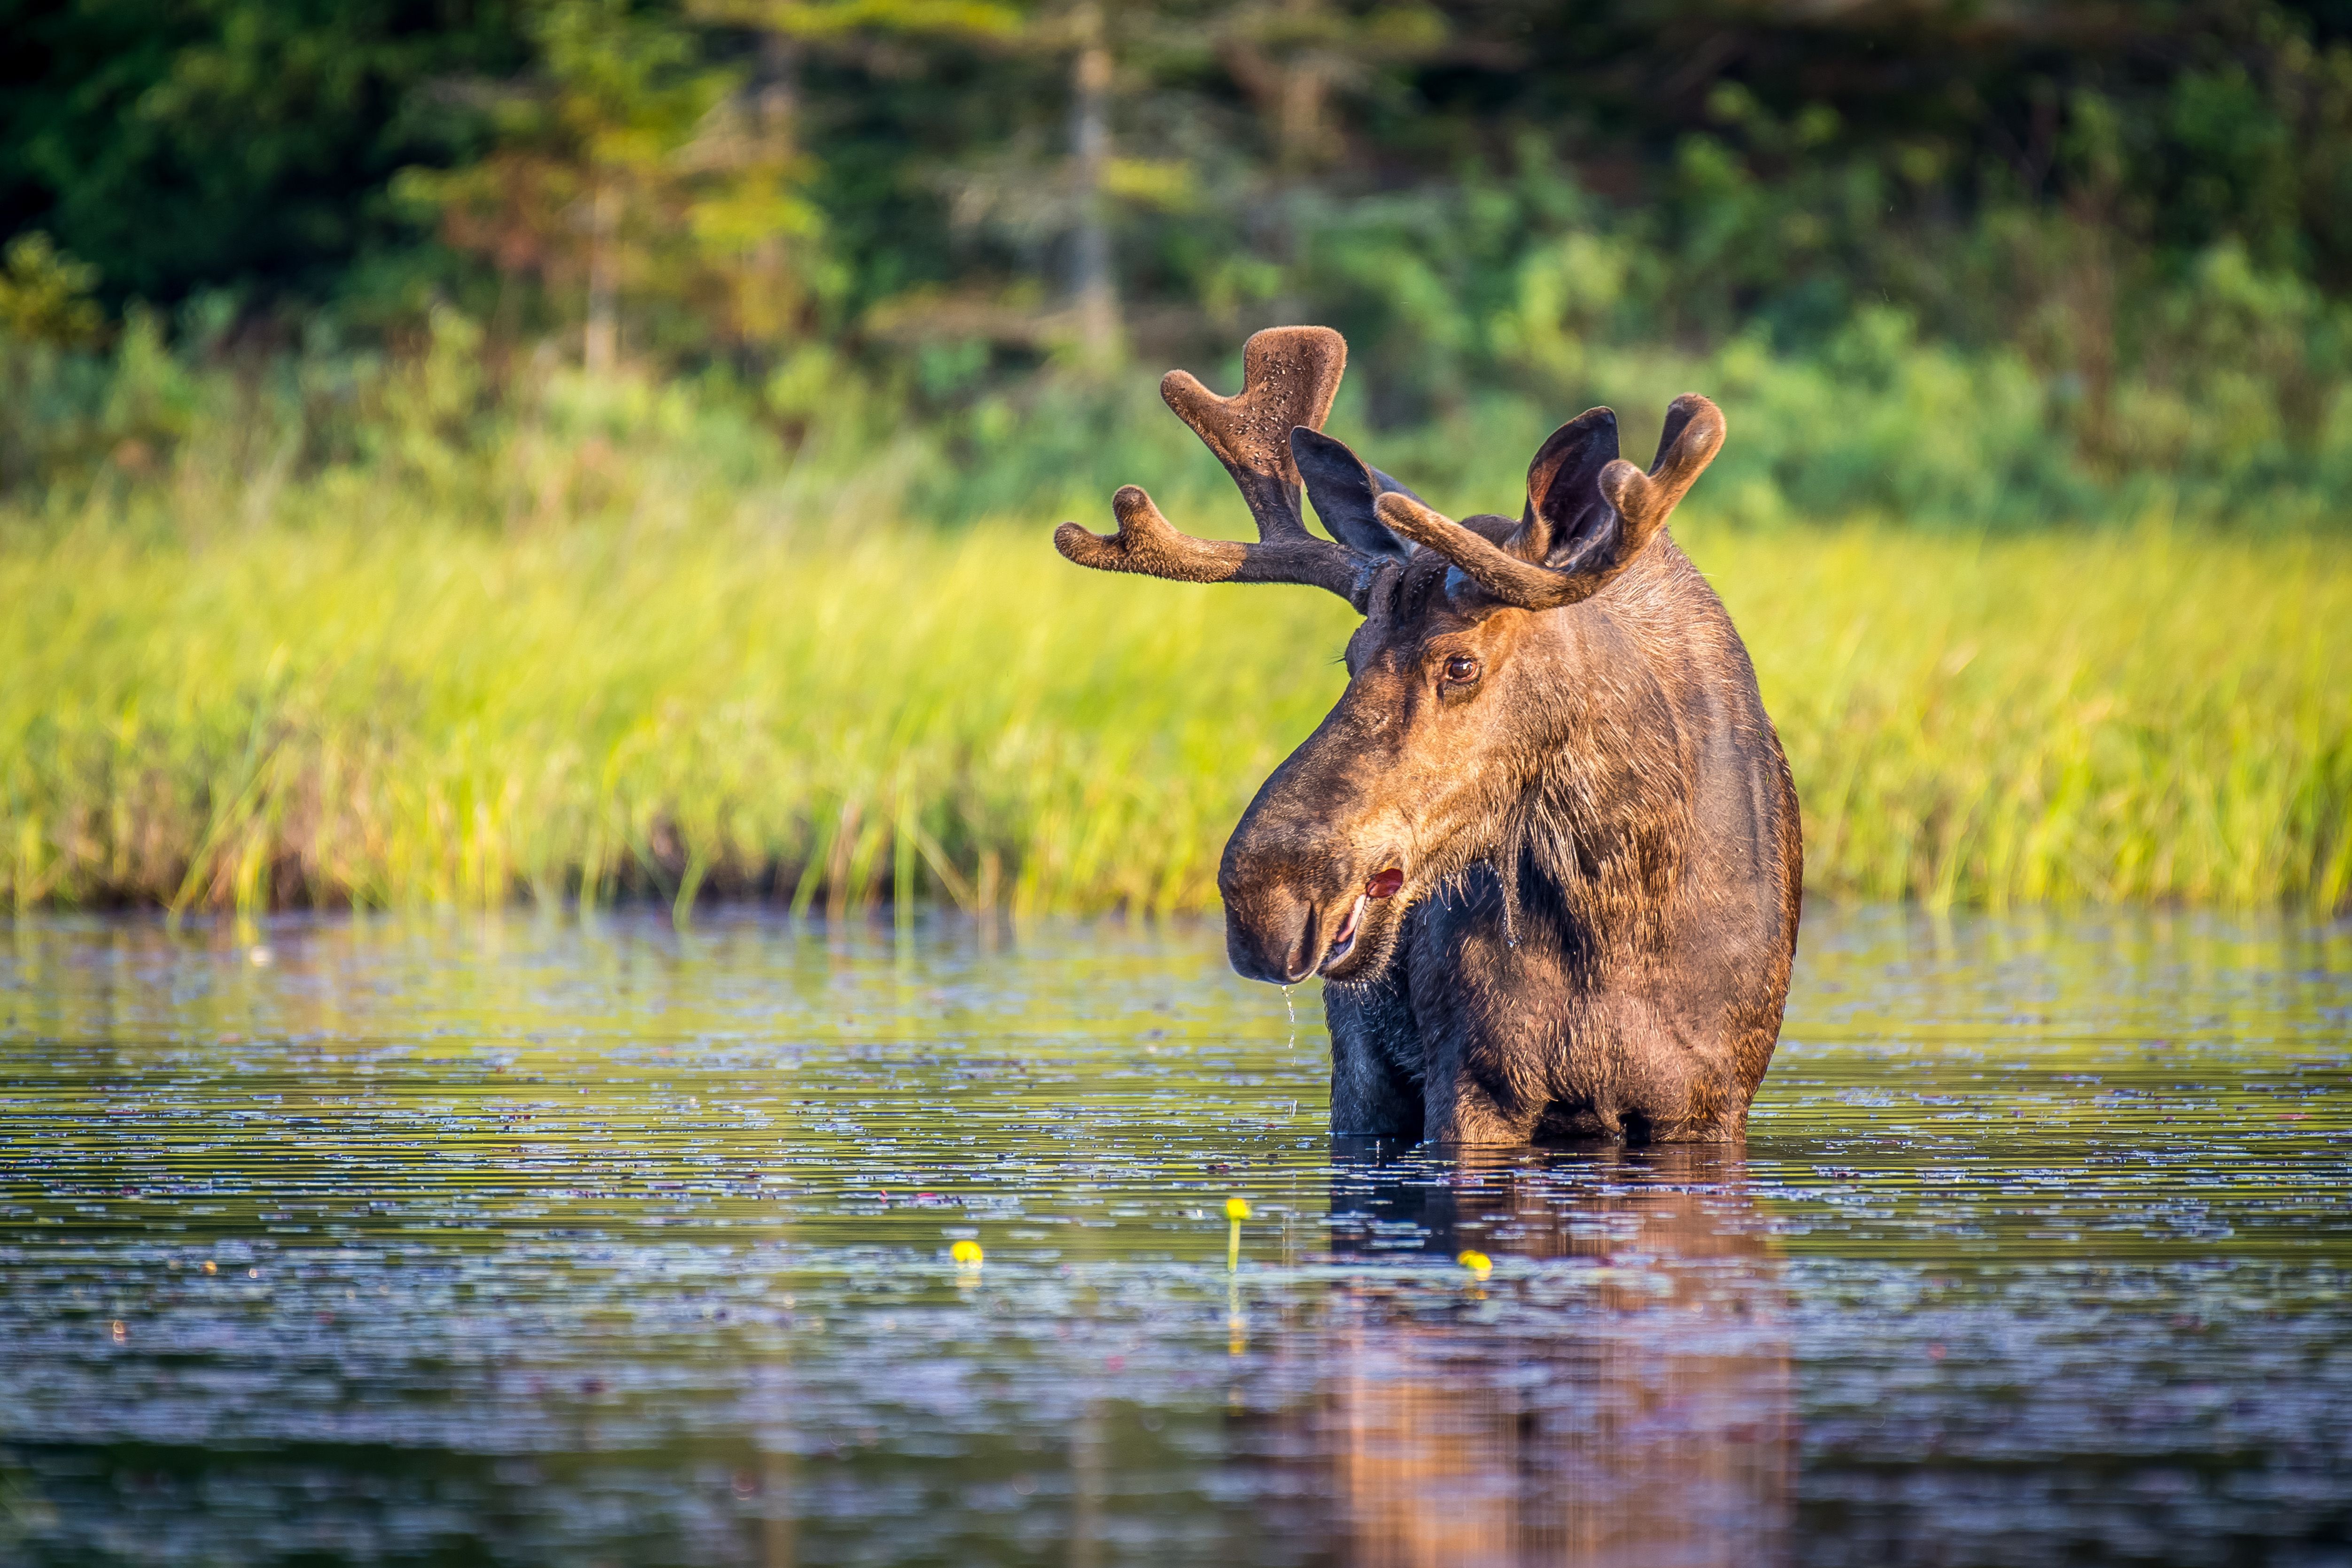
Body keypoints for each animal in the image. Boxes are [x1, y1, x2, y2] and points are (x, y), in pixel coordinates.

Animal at [1054, 329, 1797, 1142]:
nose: (1264, 895)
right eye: (1350, 656)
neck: (1623, 912)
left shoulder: (1710, 1098)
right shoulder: (1471, 1081)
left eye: (1459, 662)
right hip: (1360, 1071)